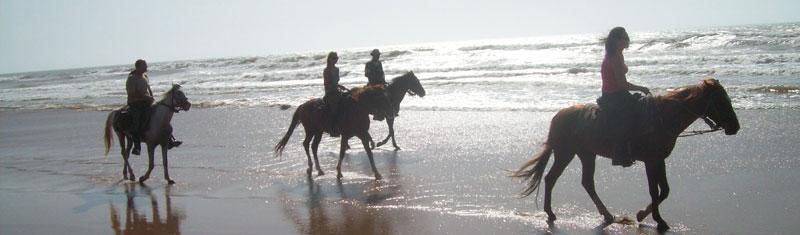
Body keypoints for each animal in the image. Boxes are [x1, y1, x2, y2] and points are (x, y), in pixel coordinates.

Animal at [516, 79, 740, 231]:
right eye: (721, 101)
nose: (735, 127)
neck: (663, 117)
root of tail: (559, 115)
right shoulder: (651, 161)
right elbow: (654, 191)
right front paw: (657, 220)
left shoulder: (659, 160)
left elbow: (665, 190)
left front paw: (643, 215)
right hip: (565, 152)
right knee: (551, 178)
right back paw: (551, 213)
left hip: (586, 154)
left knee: (586, 182)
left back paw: (606, 215)